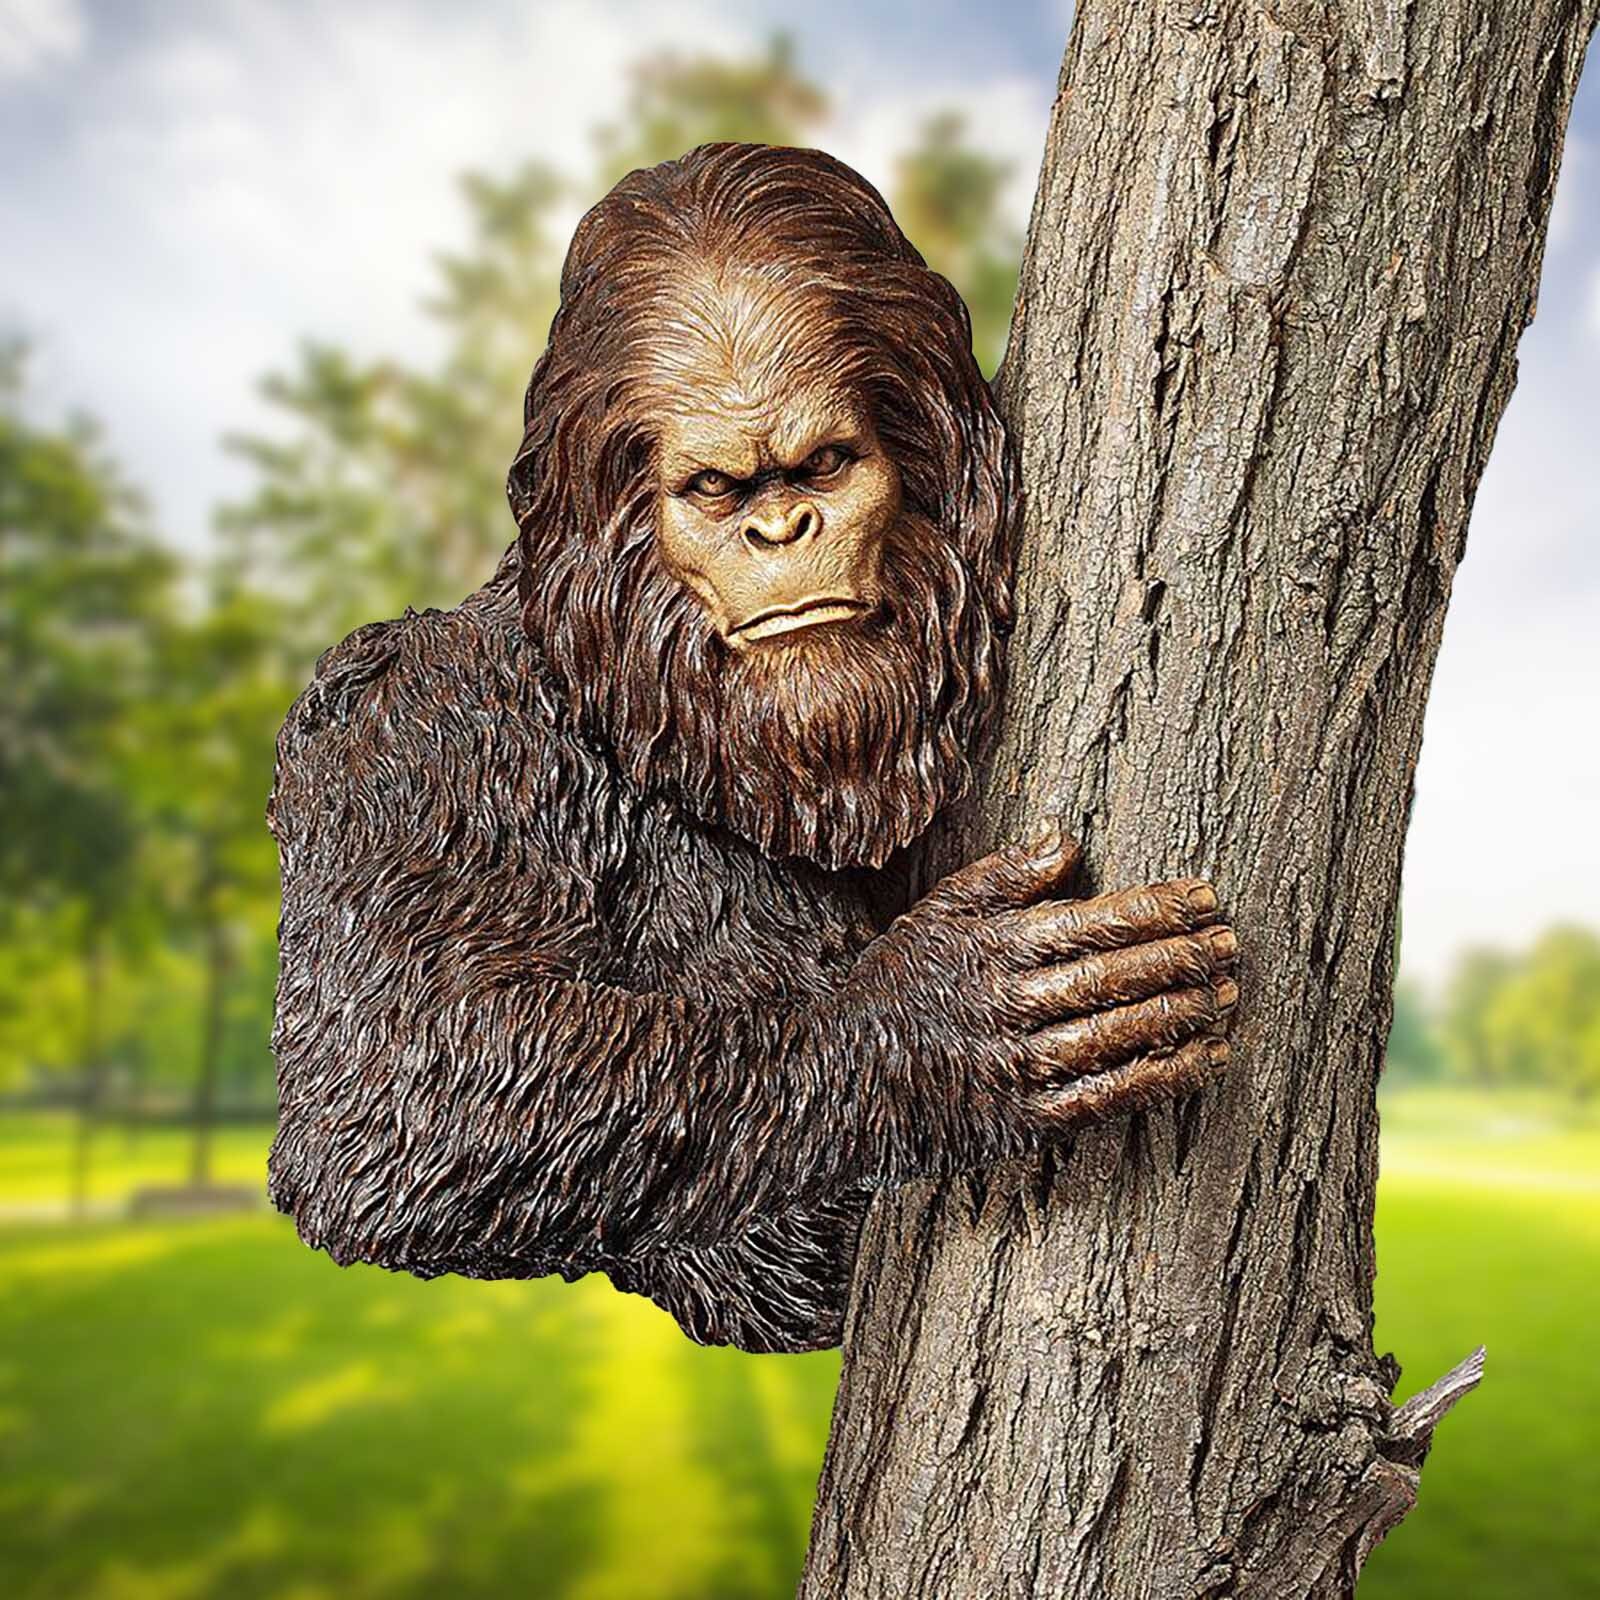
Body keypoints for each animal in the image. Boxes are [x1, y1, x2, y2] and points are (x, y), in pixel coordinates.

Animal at [266, 142, 1238, 1354]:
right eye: (717, 487)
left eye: (823, 465)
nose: (780, 531)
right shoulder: (410, 735)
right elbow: (393, 1086)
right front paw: (932, 1026)